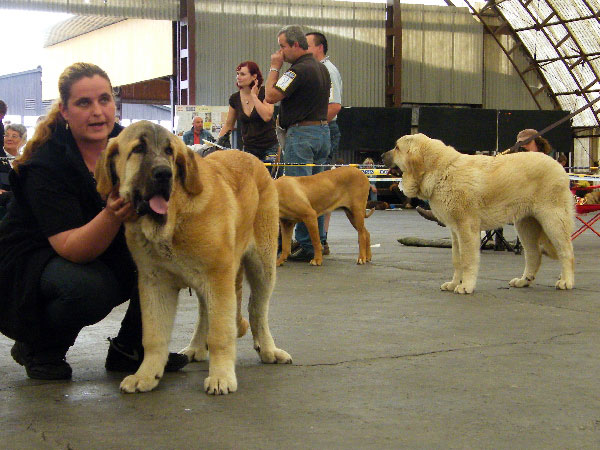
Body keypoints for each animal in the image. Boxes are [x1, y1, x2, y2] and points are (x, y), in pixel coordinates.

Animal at [95, 121, 290, 396]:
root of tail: (250, 156)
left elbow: (221, 334)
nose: (164, 174)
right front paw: (147, 374)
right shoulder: (155, 284)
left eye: (169, 152)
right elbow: (154, 335)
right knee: (205, 312)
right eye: (138, 149)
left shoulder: (218, 279)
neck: (173, 219)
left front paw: (221, 377)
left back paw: (269, 350)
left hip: (263, 265)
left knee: (257, 309)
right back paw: (196, 347)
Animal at [382, 133, 576, 296]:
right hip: (526, 225)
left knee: (566, 251)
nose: (382, 155)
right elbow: (457, 259)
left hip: (553, 220)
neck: (441, 171)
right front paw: (454, 283)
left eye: (397, 148)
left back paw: (566, 281)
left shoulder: (466, 228)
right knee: (534, 254)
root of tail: (559, 166)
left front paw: (466, 286)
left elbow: (467, 260)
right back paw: (524, 281)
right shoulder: (455, 231)